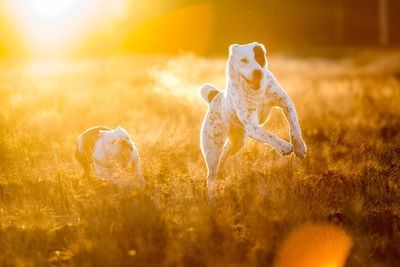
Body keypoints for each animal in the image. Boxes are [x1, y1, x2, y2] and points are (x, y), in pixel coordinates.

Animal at [199, 42, 306, 201]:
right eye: (244, 60)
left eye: (259, 57)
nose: (258, 73)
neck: (256, 91)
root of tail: (216, 96)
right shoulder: (251, 126)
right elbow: (270, 135)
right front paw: (284, 147)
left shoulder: (286, 103)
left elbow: (294, 128)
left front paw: (299, 147)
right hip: (212, 149)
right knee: (210, 176)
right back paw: (213, 199)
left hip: (237, 142)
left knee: (223, 157)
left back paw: (222, 171)